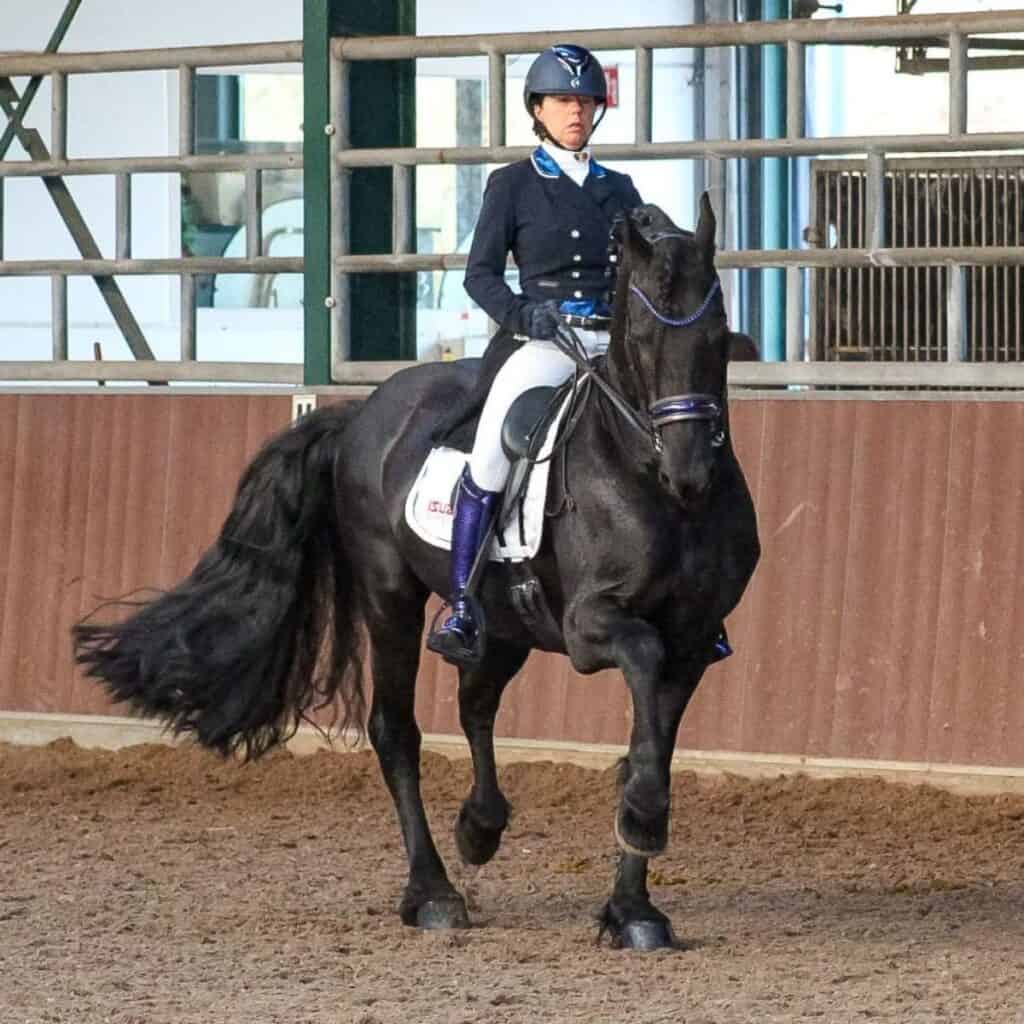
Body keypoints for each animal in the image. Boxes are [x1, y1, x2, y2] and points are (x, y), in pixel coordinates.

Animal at [73, 197, 760, 951]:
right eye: (640, 334)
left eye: (719, 335)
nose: (690, 473)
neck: (646, 480)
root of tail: (364, 410)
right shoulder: (592, 627)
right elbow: (639, 672)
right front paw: (639, 815)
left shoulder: (692, 639)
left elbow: (655, 740)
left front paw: (634, 908)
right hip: (390, 598)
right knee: (395, 728)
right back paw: (432, 893)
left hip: (503, 621)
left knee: (475, 704)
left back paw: (480, 828)